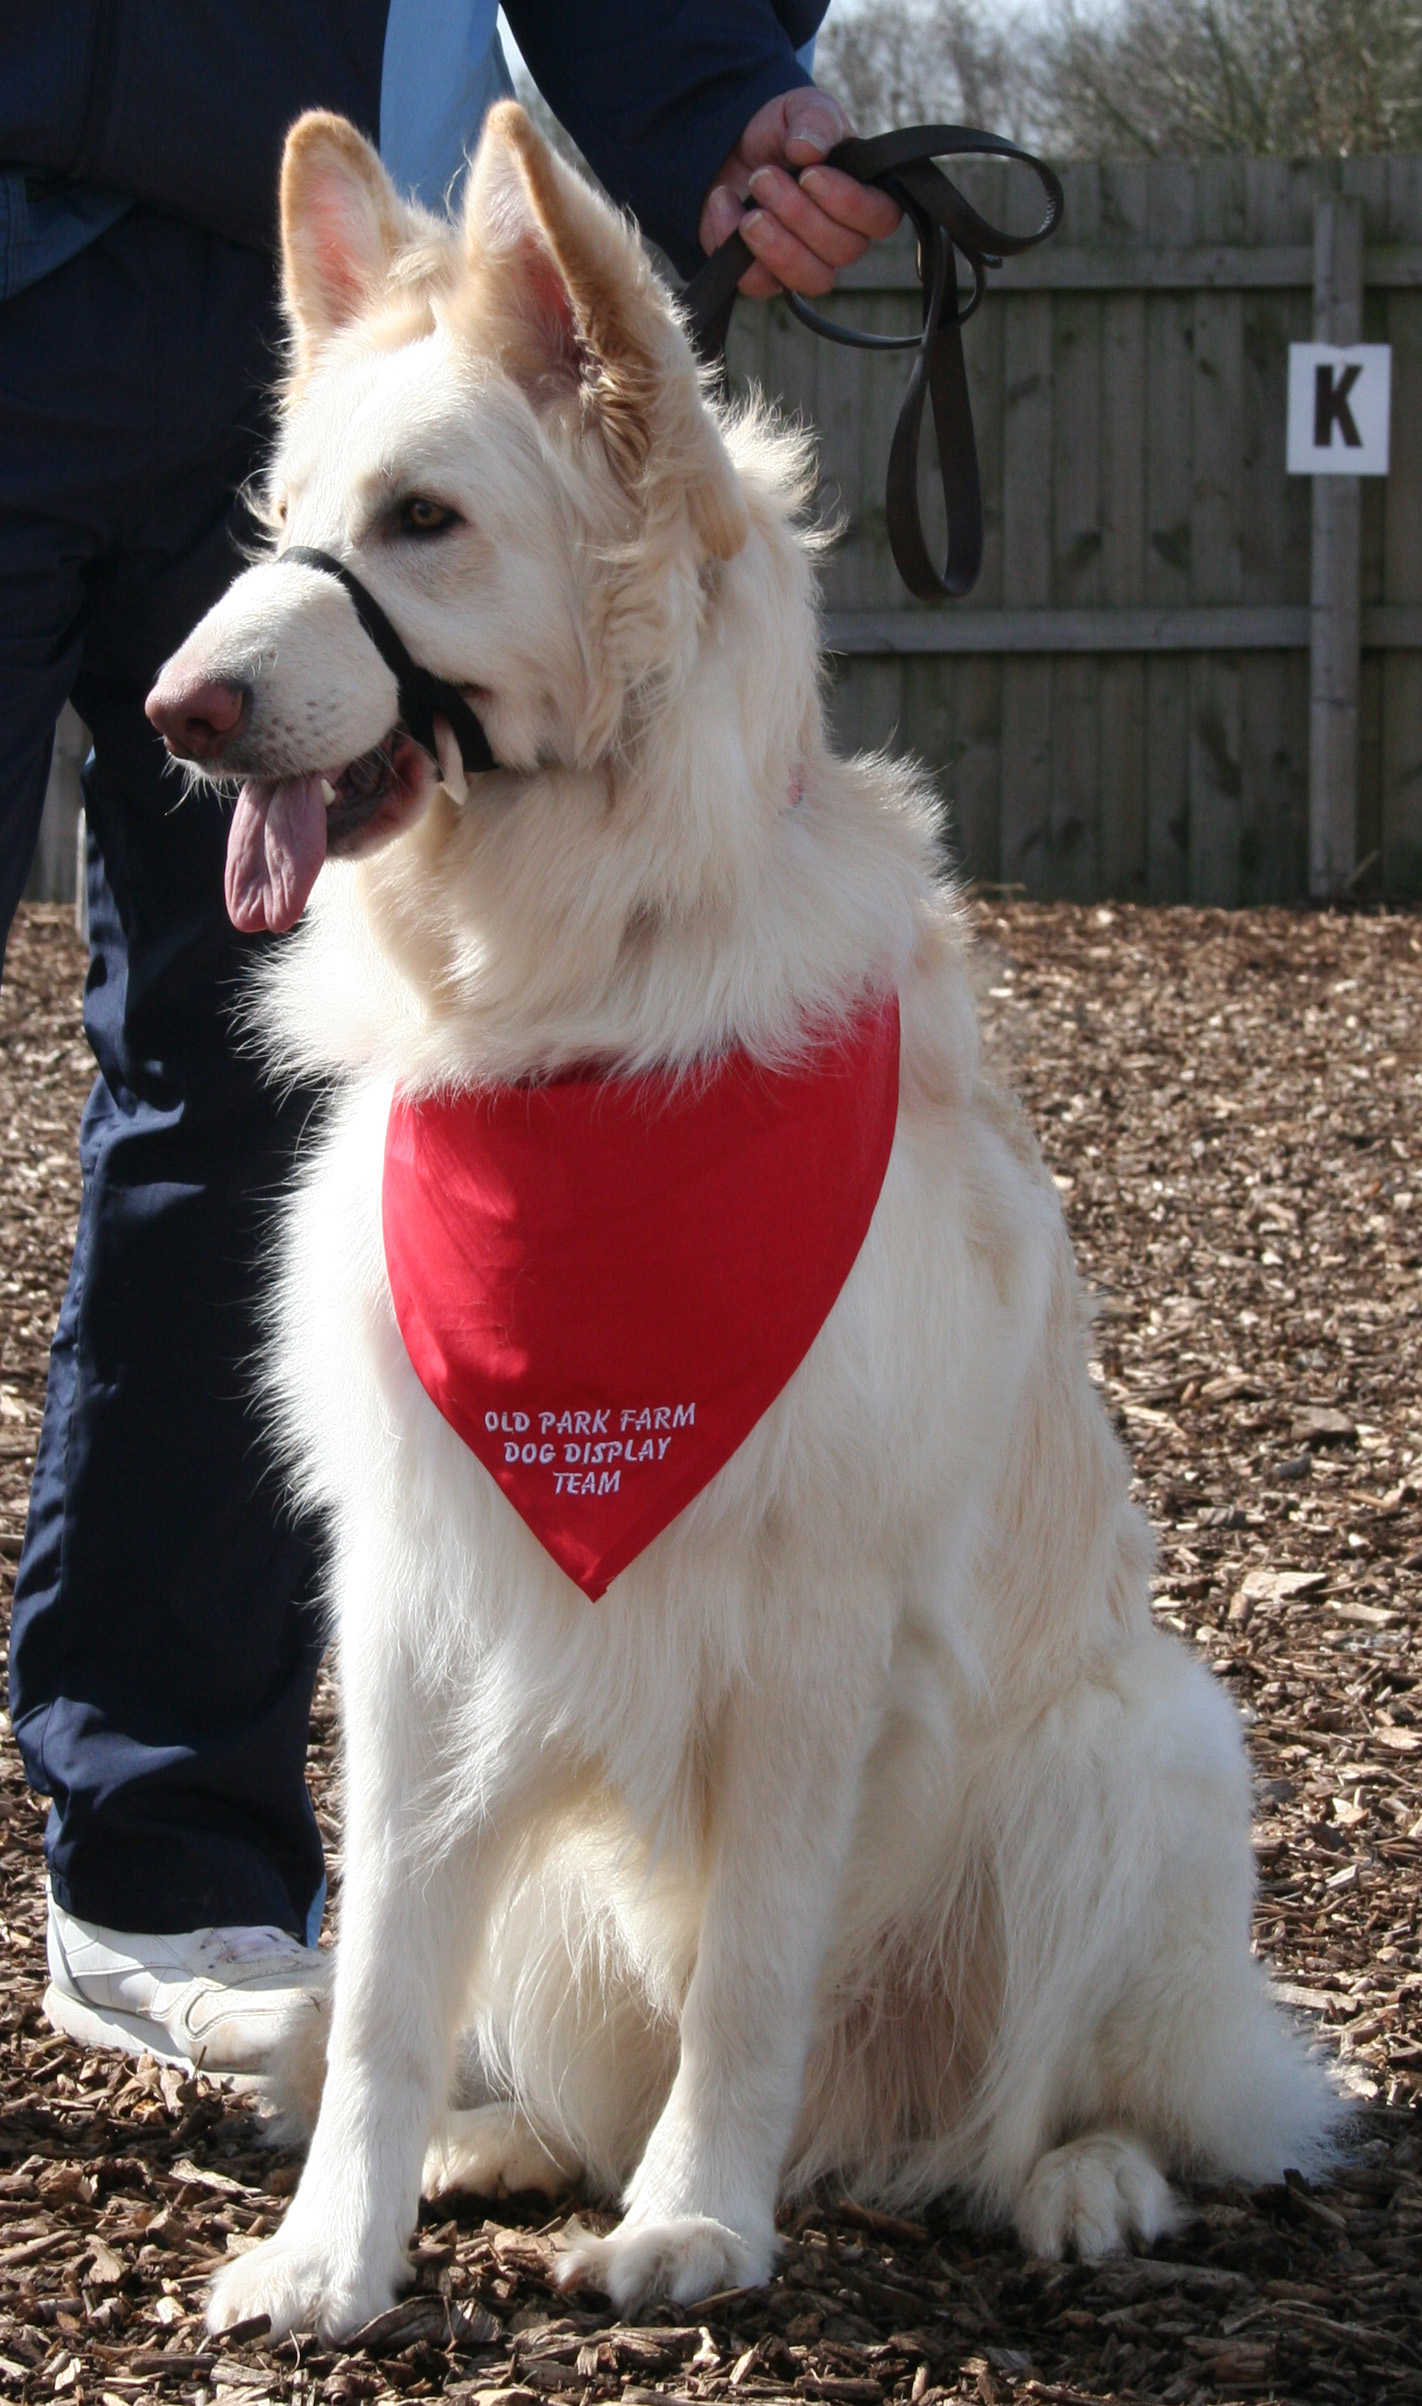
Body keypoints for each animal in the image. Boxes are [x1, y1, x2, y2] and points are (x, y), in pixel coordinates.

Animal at [150, 103, 1337, 2338]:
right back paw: (500, 2142)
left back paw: (1073, 2184)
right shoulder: (419, 1605)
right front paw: (331, 2248)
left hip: (1138, 1759)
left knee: (1052, 2108)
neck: (576, 1010)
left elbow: (752, 1967)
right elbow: (382, 1983)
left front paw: (699, 2219)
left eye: (422, 522)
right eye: (276, 522)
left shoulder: (809, 1627)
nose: (179, 713)